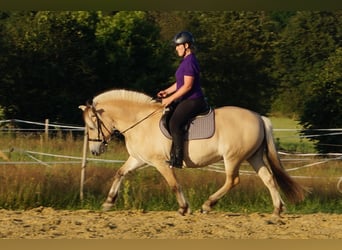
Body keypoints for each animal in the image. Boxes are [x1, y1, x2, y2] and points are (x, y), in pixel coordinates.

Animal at [79, 89, 306, 217]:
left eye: (91, 126)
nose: (95, 150)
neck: (140, 122)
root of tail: (259, 117)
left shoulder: (160, 163)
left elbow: (173, 184)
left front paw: (184, 208)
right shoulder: (138, 159)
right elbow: (120, 173)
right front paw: (108, 202)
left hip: (232, 157)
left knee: (233, 180)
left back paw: (207, 205)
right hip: (254, 156)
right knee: (268, 179)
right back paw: (277, 210)